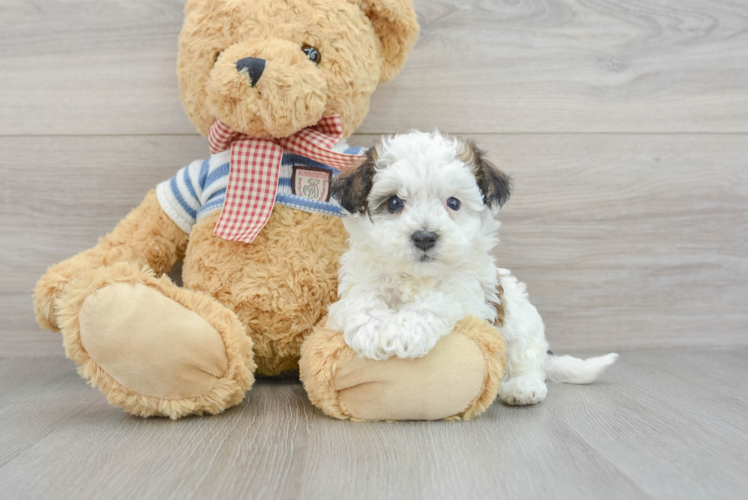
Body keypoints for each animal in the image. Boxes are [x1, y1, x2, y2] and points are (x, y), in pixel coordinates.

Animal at [328, 131, 620, 404]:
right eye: (394, 203)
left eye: (453, 203)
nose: (425, 237)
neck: (417, 276)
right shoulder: (362, 280)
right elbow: (361, 303)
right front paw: (371, 332)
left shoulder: (467, 293)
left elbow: (437, 302)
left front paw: (404, 331)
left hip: (523, 322)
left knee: (527, 359)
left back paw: (523, 387)